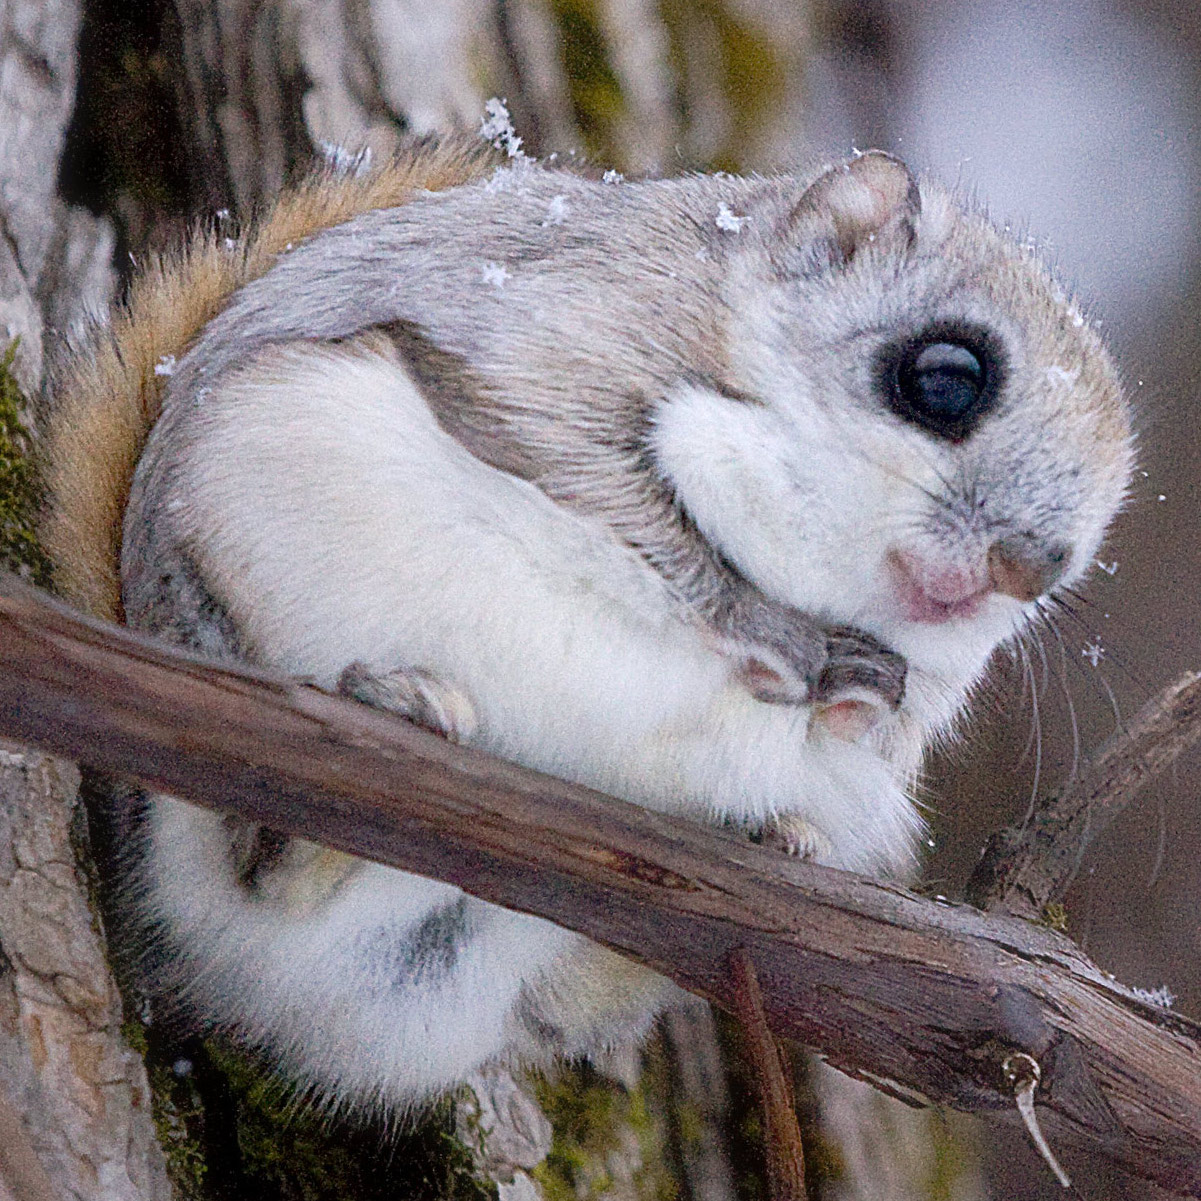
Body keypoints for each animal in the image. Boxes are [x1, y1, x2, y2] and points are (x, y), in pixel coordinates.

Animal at [35, 131, 1124, 1104]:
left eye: (1077, 558)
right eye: (944, 377)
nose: (1028, 568)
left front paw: (856, 702)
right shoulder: (559, 345)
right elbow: (606, 489)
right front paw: (774, 635)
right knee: (253, 862)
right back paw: (381, 721)